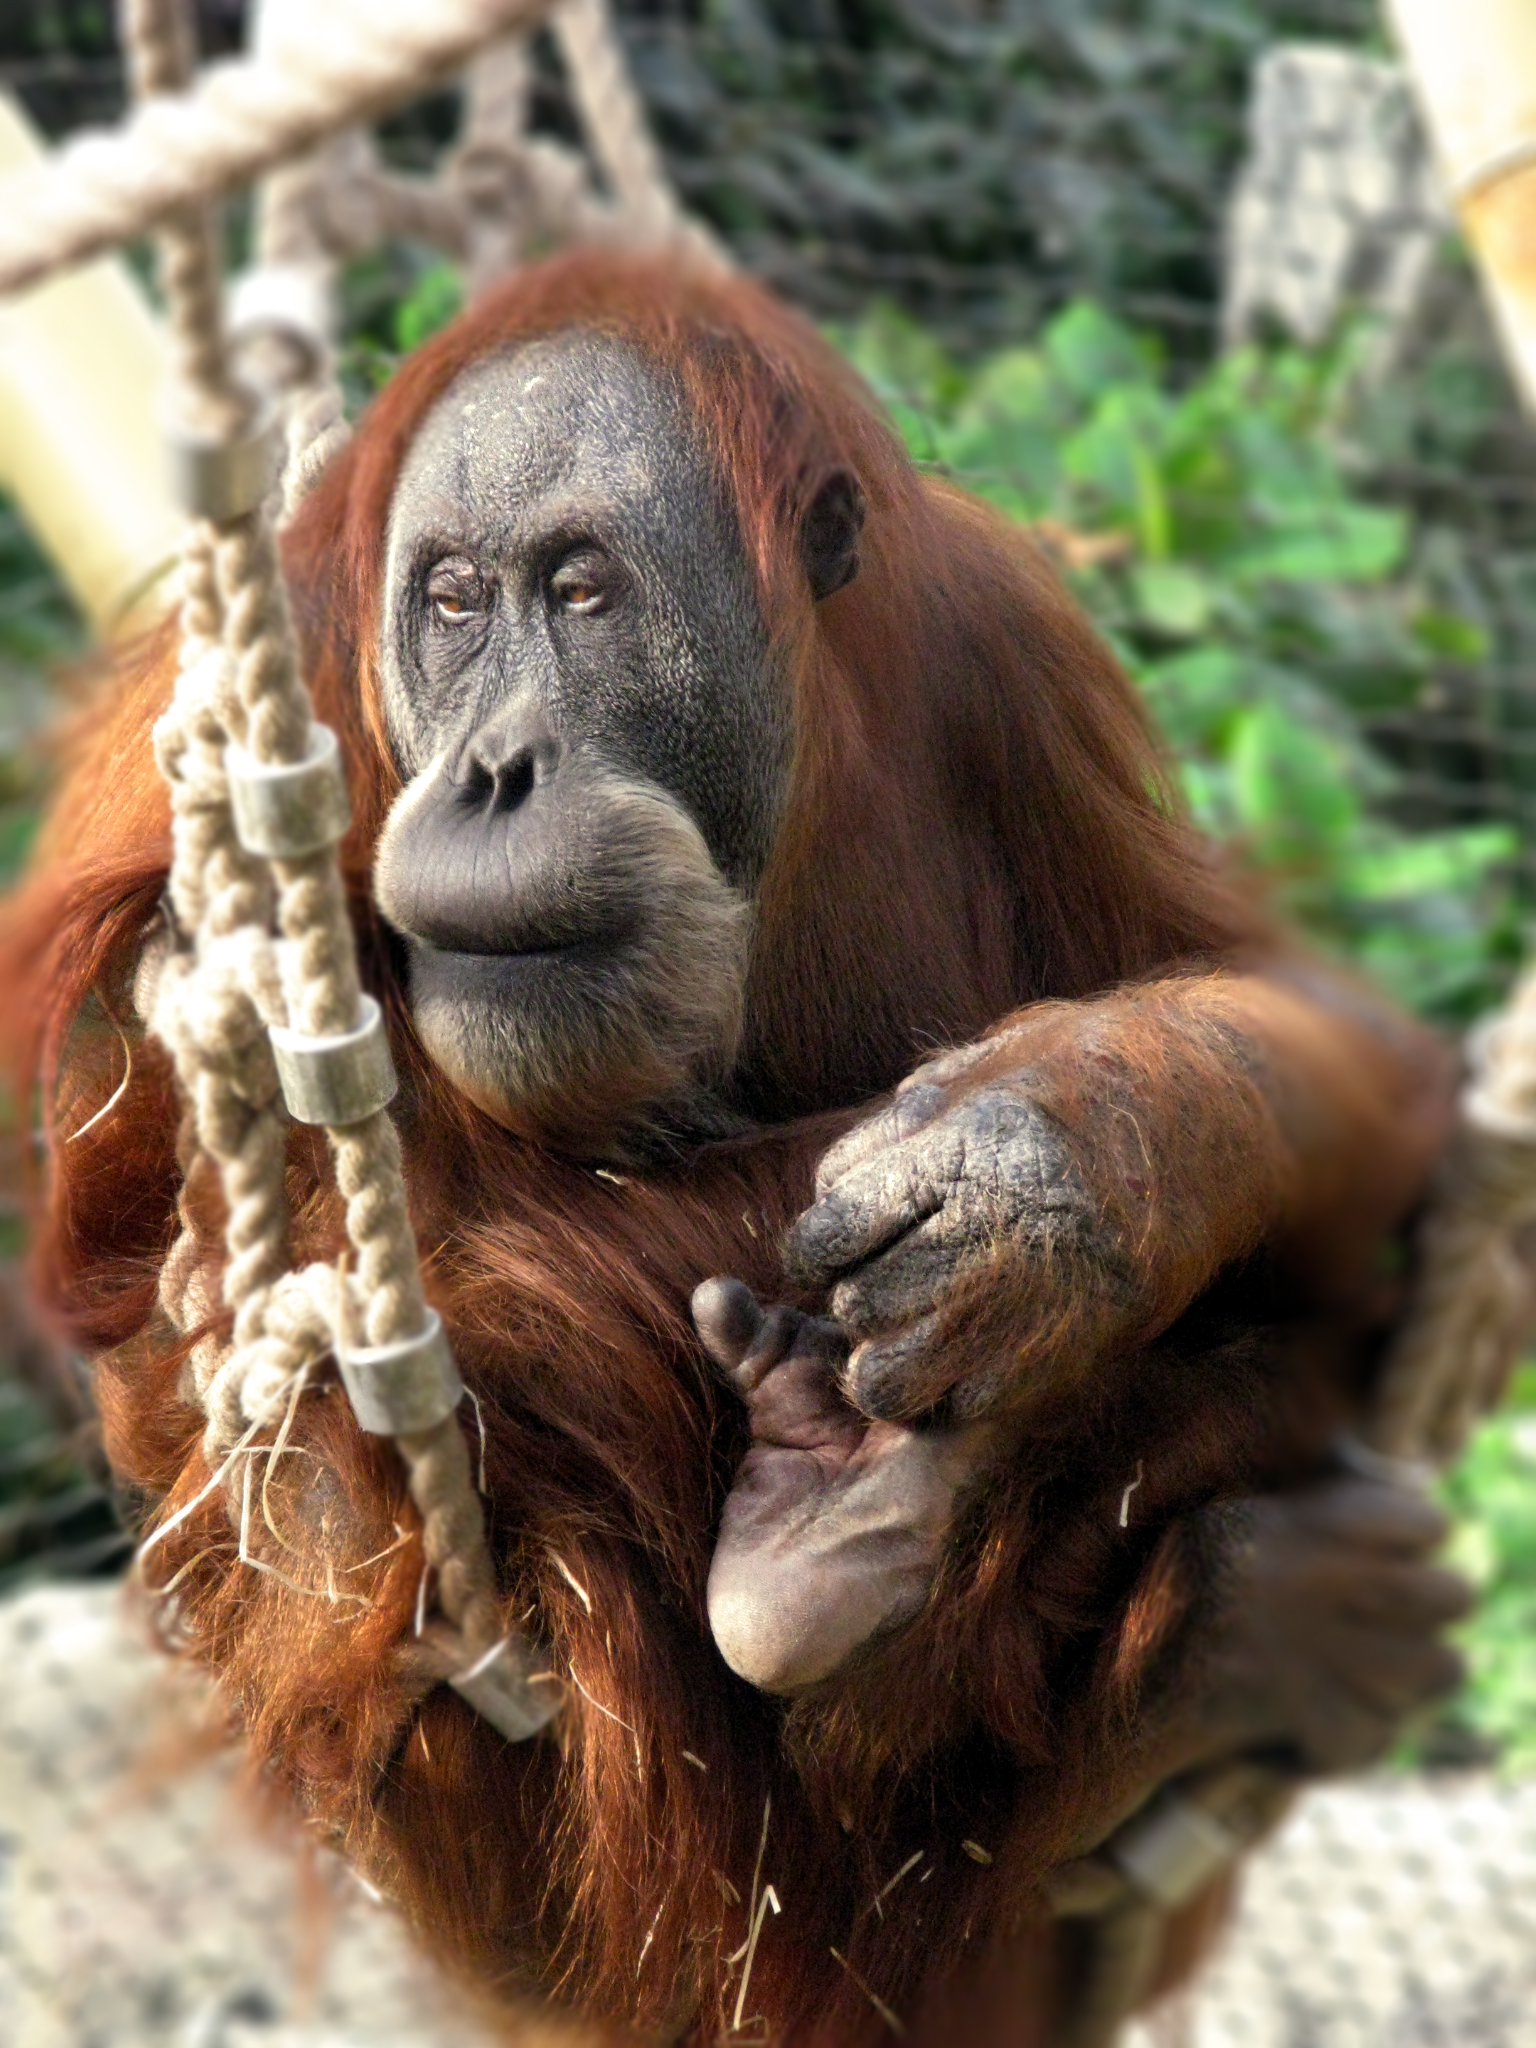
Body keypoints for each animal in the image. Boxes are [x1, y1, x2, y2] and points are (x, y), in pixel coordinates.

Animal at [0, 251, 1470, 2044]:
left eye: (579, 591)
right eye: (453, 603)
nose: (492, 770)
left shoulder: (1011, 656)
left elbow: (1266, 983)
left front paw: (1035, 1182)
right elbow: (192, 1241)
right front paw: (978, 1256)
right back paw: (893, 1551)